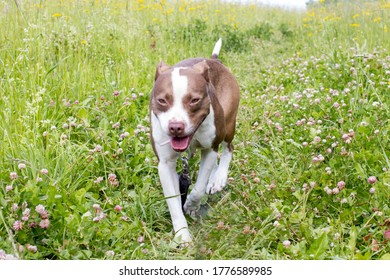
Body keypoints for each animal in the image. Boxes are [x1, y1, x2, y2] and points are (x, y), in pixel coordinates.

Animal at [151, 39, 239, 245]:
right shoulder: (165, 164)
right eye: (162, 100)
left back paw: (219, 177)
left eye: (194, 100)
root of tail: (214, 60)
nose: (176, 127)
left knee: (228, 148)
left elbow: (198, 189)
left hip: (228, 124)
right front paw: (182, 234)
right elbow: (174, 202)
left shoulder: (210, 148)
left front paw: (191, 203)